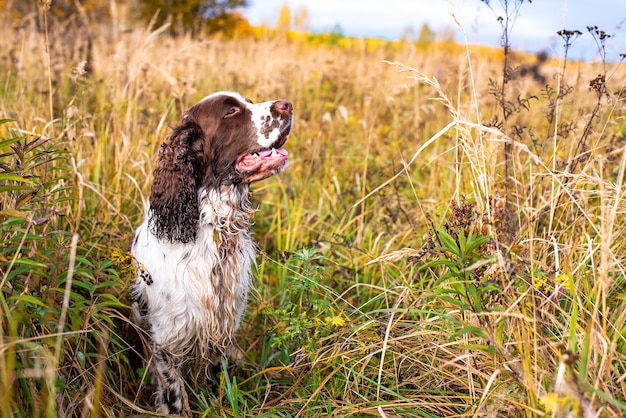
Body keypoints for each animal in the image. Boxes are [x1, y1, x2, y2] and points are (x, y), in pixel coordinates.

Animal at [130, 92, 292, 414]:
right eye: (231, 111)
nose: (288, 104)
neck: (214, 225)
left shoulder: (227, 323)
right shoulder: (165, 340)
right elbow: (174, 394)